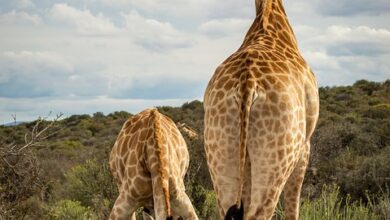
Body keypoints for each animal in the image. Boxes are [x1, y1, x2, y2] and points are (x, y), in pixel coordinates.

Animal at [203, 0, 318, 220]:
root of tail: (247, 83)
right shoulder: (305, 148)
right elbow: (293, 208)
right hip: (278, 159)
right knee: (259, 212)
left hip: (219, 153)